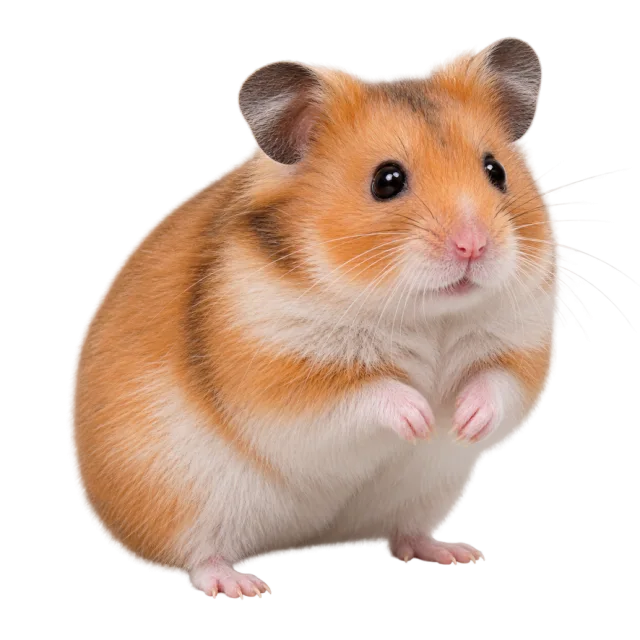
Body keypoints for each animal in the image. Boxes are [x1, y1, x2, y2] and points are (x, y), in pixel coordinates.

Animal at [67, 38, 565, 600]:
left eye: (495, 170)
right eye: (387, 180)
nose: (473, 246)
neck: (423, 313)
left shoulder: (524, 349)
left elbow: (497, 384)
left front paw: (462, 423)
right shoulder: (281, 378)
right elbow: (365, 395)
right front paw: (422, 417)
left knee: (405, 531)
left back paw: (456, 553)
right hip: (178, 497)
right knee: (195, 557)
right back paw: (243, 585)